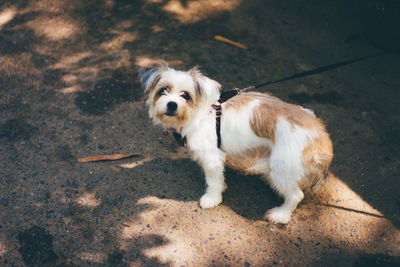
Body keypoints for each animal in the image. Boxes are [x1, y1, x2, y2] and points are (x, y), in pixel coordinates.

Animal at [139, 63, 332, 225]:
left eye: (185, 95)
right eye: (163, 90)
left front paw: (212, 198)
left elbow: (213, 182)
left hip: (282, 168)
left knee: (296, 195)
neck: (200, 113)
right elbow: (218, 179)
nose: (171, 105)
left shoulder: (212, 159)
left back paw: (281, 215)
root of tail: (320, 134)